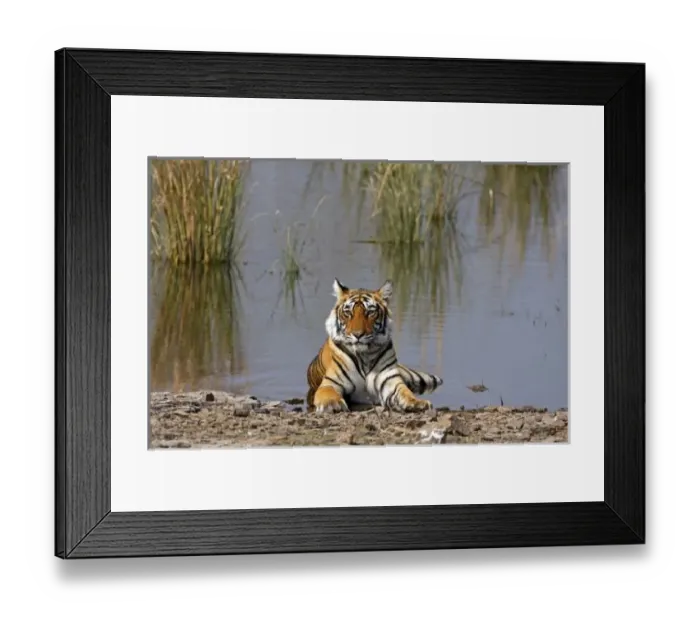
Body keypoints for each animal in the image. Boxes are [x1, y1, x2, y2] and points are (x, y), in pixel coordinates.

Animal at [306, 278, 443, 413]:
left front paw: (417, 403)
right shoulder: (331, 382)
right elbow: (328, 393)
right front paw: (332, 404)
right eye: (348, 313)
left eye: (370, 312)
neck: (364, 356)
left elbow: (405, 392)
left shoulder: (391, 382)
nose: (358, 334)